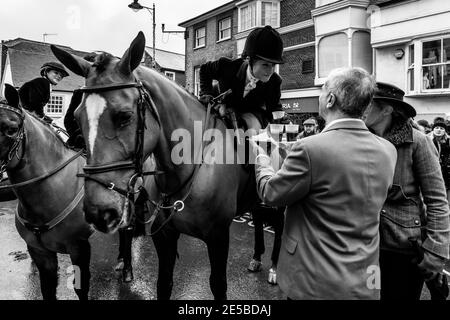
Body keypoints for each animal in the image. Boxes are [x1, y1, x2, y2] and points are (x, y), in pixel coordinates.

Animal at [51, 32, 256, 300]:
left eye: (124, 116)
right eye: (77, 117)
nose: (97, 212)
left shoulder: (219, 237)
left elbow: (218, 284)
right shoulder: (164, 235)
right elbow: (164, 283)